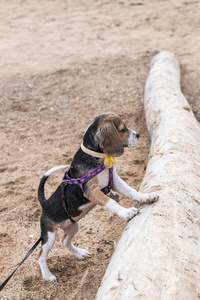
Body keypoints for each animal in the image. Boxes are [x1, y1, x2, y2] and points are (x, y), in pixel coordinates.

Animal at [38, 112, 159, 282]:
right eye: (122, 129)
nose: (138, 135)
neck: (97, 158)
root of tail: (45, 203)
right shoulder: (92, 191)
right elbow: (111, 203)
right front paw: (126, 212)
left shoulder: (115, 182)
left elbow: (132, 191)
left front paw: (146, 197)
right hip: (49, 235)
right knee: (41, 255)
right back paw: (48, 275)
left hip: (73, 225)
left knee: (64, 241)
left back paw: (80, 253)